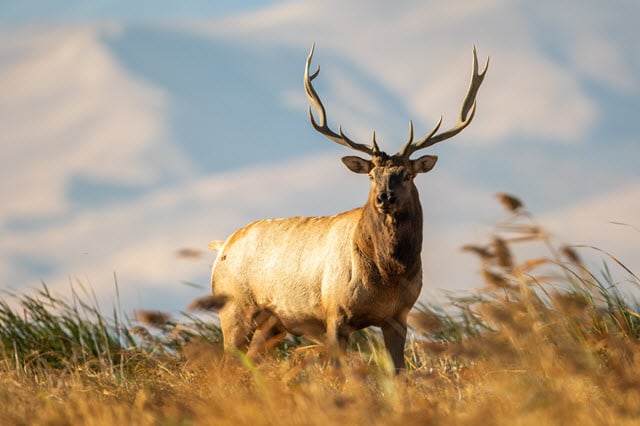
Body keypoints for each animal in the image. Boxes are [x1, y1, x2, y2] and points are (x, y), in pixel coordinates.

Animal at [210, 45, 490, 372]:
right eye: (371, 175)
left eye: (407, 174)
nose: (384, 197)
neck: (387, 276)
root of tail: (221, 247)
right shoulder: (334, 313)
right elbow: (338, 373)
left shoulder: (399, 316)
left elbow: (398, 371)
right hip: (234, 310)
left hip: (273, 324)